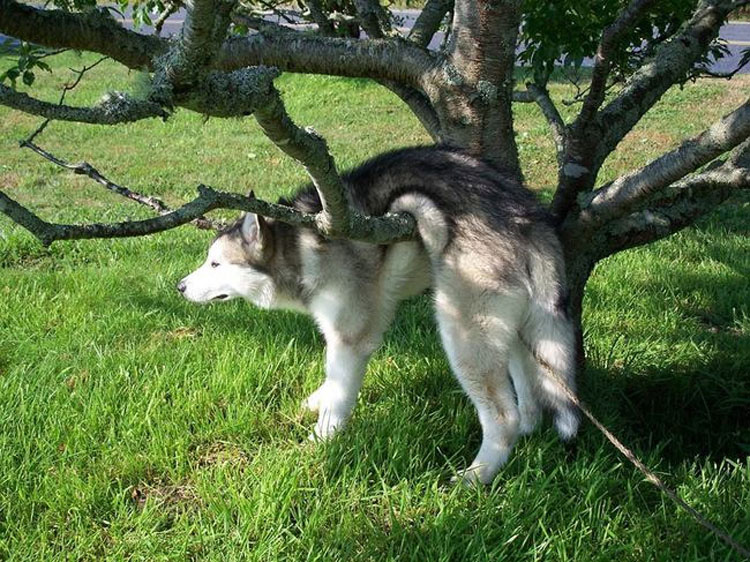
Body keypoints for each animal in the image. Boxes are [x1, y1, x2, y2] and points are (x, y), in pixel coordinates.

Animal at [178, 144, 580, 482]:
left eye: (215, 264)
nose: (179, 287)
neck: (301, 245)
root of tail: (527, 215)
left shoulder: (351, 336)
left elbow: (340, 393)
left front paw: (320, 441)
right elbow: (331, 379)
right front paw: (318, 401)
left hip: (462, 332)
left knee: (502, 415)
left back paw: (477, 476)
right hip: (513, 328)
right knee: (527, 385)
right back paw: (528, 429)